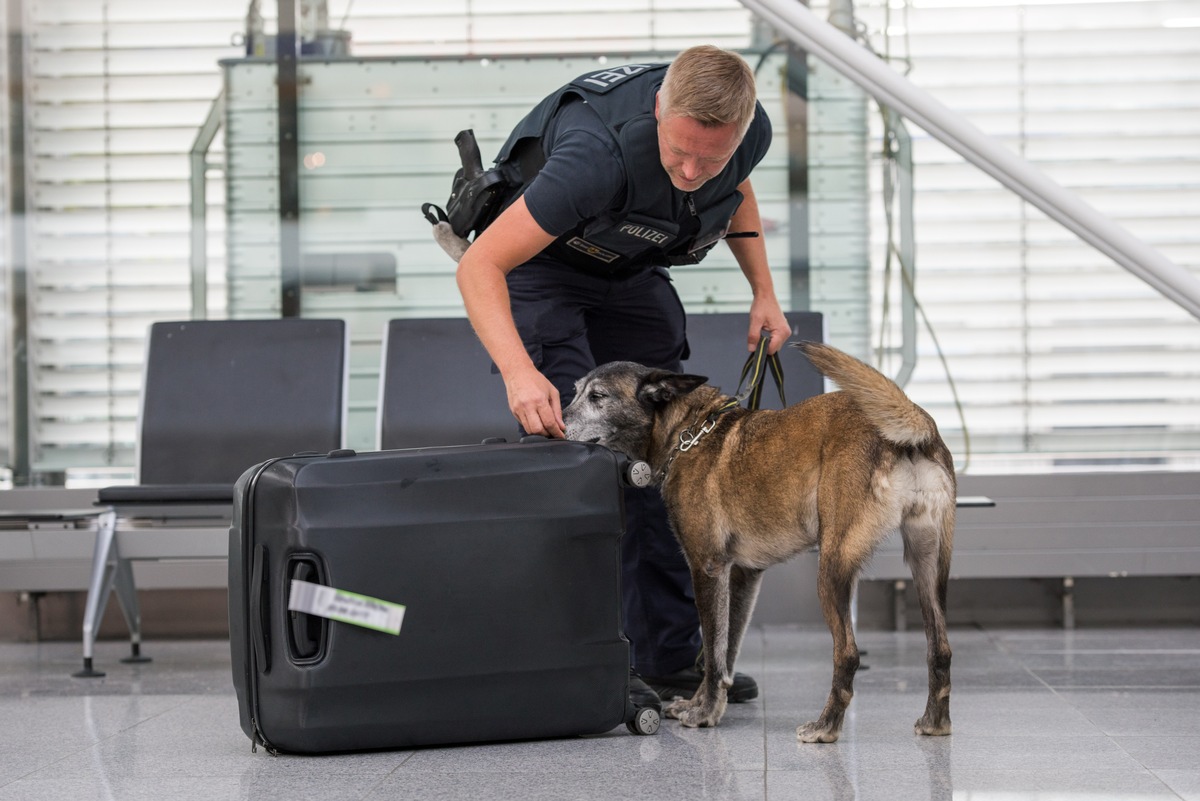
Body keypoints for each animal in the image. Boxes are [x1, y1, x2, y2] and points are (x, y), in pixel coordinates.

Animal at [561, 340, 955, 743]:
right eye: (576, 391)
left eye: (597, 396)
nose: (557, 424)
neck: (689, 434)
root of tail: (917, 425)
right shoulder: (743, 575)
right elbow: (724, 650)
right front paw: (703, 702)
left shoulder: (707, 568)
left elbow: (713, 649)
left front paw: (704, 712)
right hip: (927, 566)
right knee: (940, 648)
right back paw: (935, 722)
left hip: (831, 569)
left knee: (848, 653)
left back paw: (825, 726)